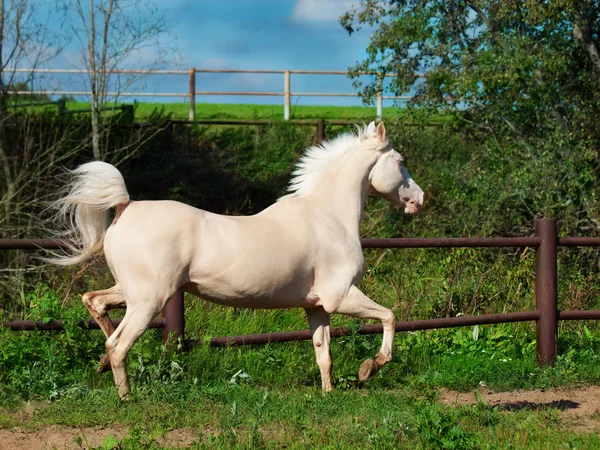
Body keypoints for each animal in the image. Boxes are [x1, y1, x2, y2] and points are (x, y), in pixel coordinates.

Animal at [45, 121, 422, 400]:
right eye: (400, 161)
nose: (418, 199)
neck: (328, 217)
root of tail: (125, 207)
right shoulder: (341, 296)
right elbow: (389, 317)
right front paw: (369, 368)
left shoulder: (317, 306)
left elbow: (323, 353)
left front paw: (329, 394)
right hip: (148, 301)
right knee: (118, 344)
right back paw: (126, 397)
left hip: (133, 293)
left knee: (95, 303)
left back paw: (101, 364)